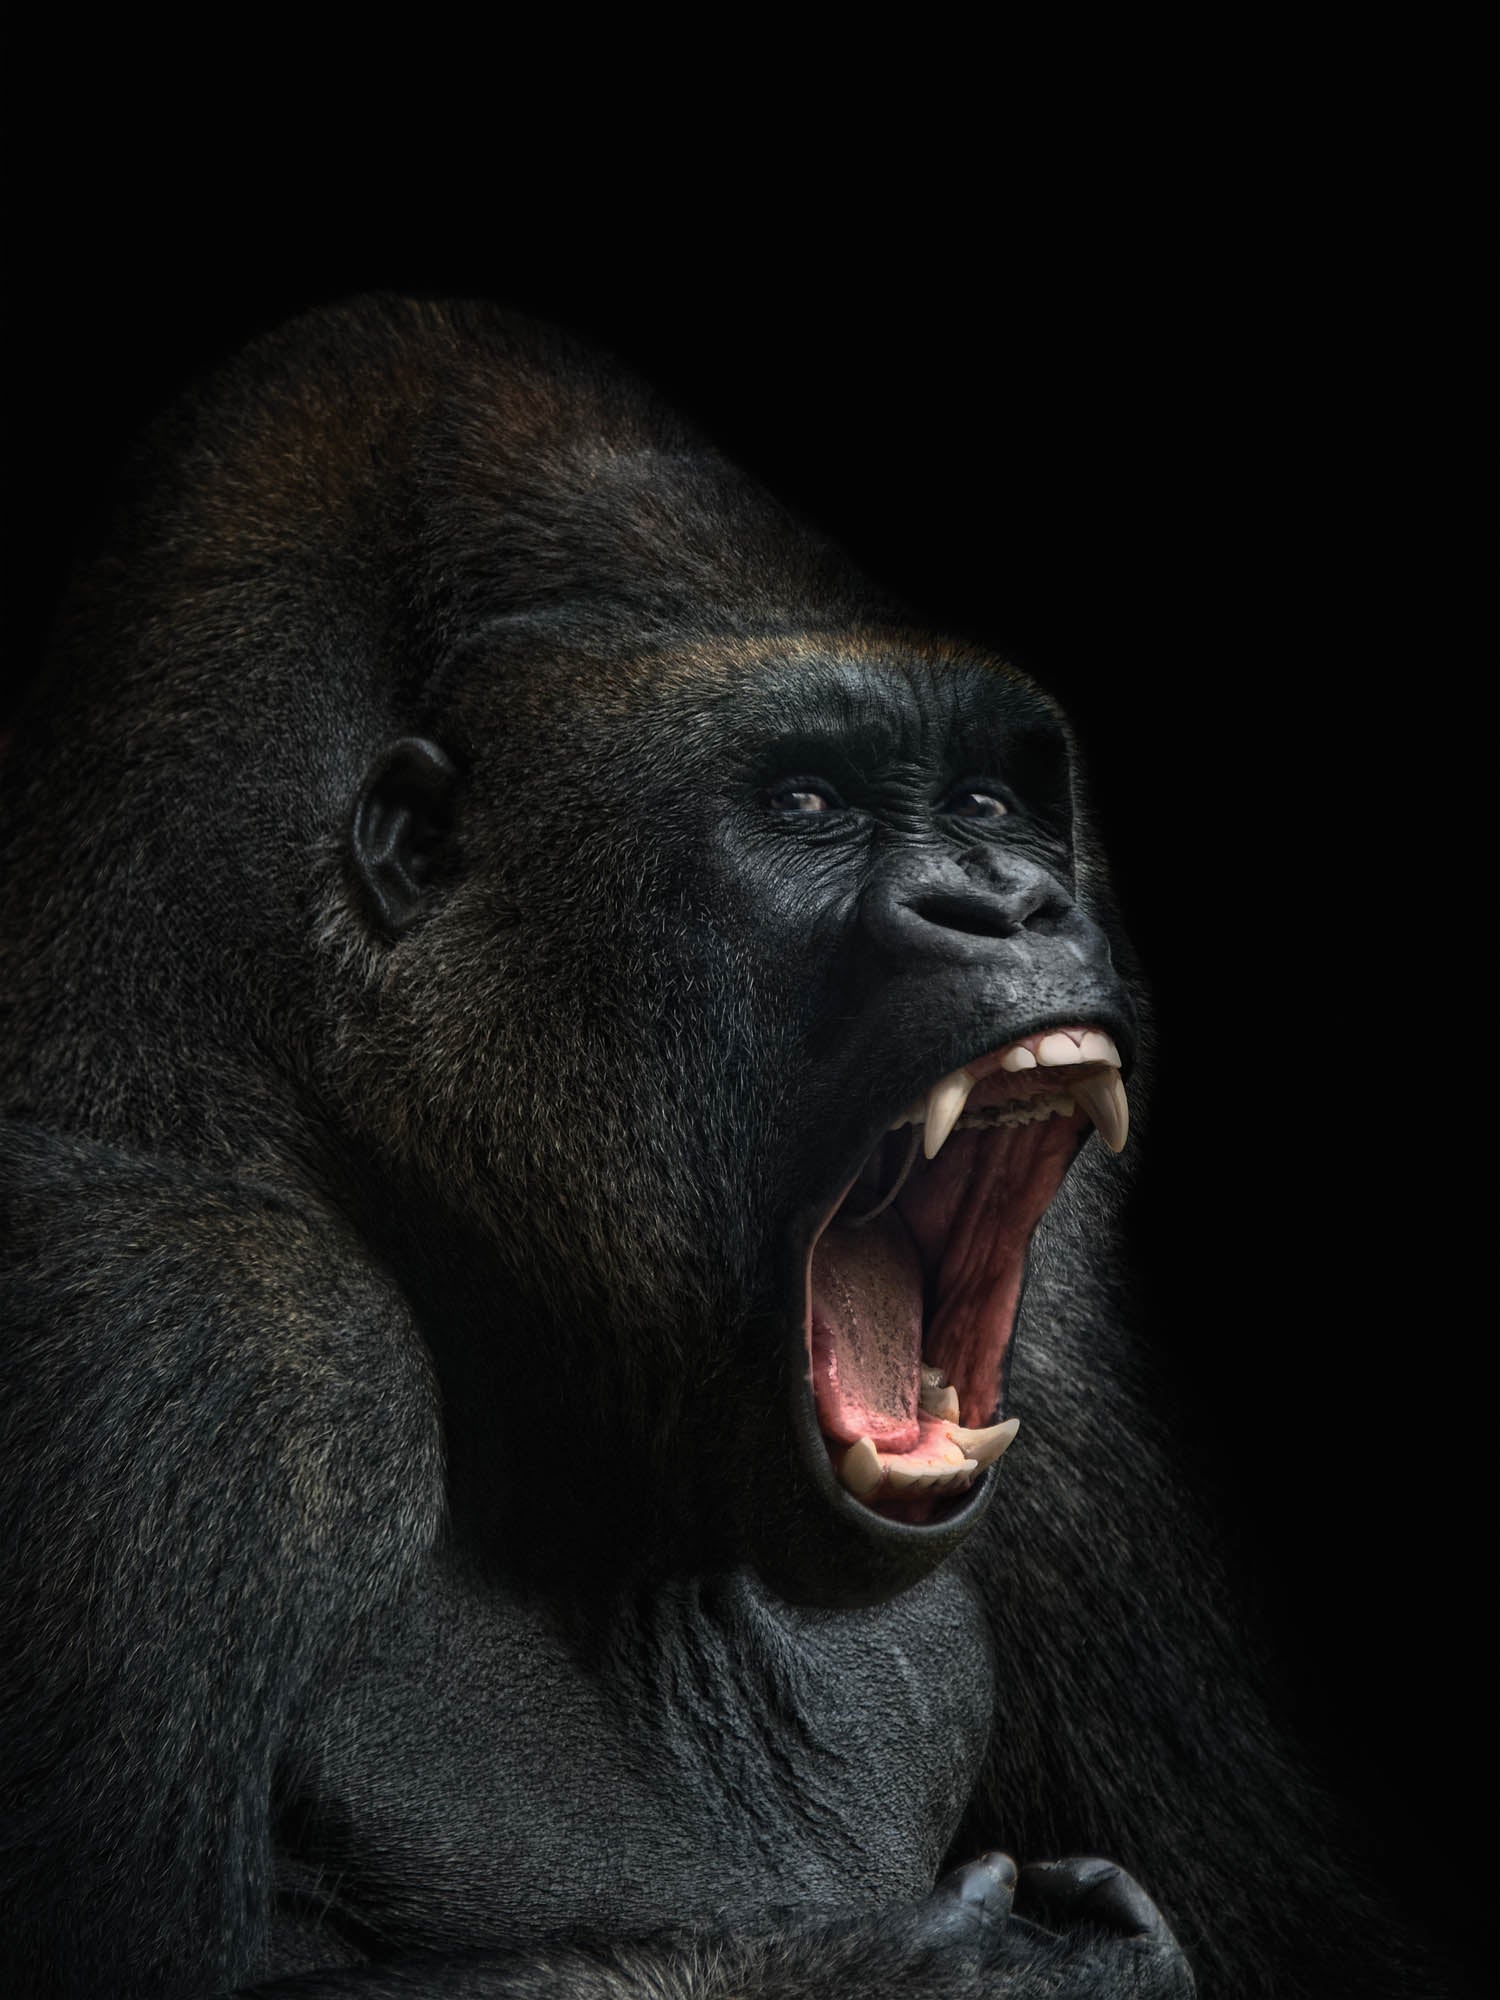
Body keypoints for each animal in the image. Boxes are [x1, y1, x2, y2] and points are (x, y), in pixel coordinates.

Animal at [0, 295, 1457, 1997]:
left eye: (993, 803)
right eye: (806, 800)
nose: (1012, 902)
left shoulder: (1074, 1423)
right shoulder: (182, 1327)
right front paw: (940, 1969)